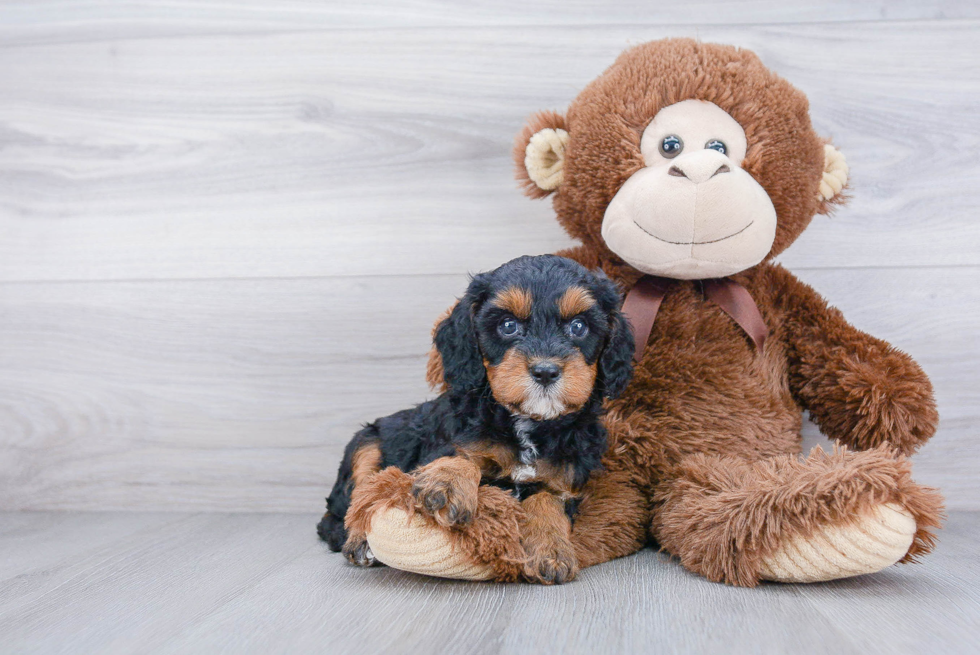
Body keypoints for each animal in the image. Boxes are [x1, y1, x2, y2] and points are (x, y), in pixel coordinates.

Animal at [316, 252, 636, 584]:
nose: (546, 371)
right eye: (508, 325)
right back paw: (360, 541)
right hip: (366, 442)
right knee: (354, 499)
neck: (527, 422)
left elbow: (546, 499)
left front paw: (552, 550)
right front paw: (447, 483)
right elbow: (461, 454)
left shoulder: (565, 481)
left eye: (578, 326)